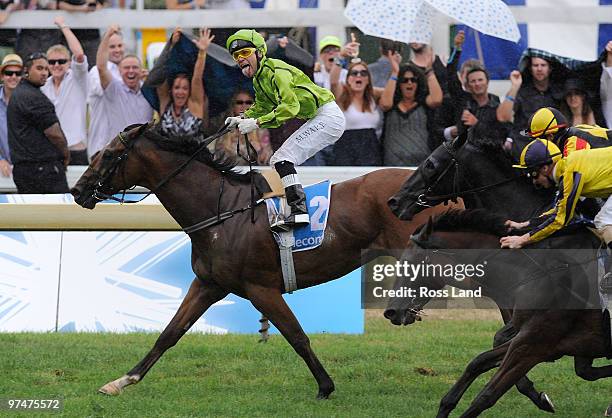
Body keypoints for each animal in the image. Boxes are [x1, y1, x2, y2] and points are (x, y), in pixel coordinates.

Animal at [73, 123, 454, 398]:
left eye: (110, 154)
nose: (78, 190)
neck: (222, 213)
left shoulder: (261, 288)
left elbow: (297, 336)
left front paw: (325, 387)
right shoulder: (208, 284)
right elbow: (169, 333)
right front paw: (122, 381)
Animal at [406, 212, 608, 418]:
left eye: (411, 262)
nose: (396, 312)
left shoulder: (533, 344)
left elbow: (486, 395)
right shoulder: (532, 340)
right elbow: (478, 361)